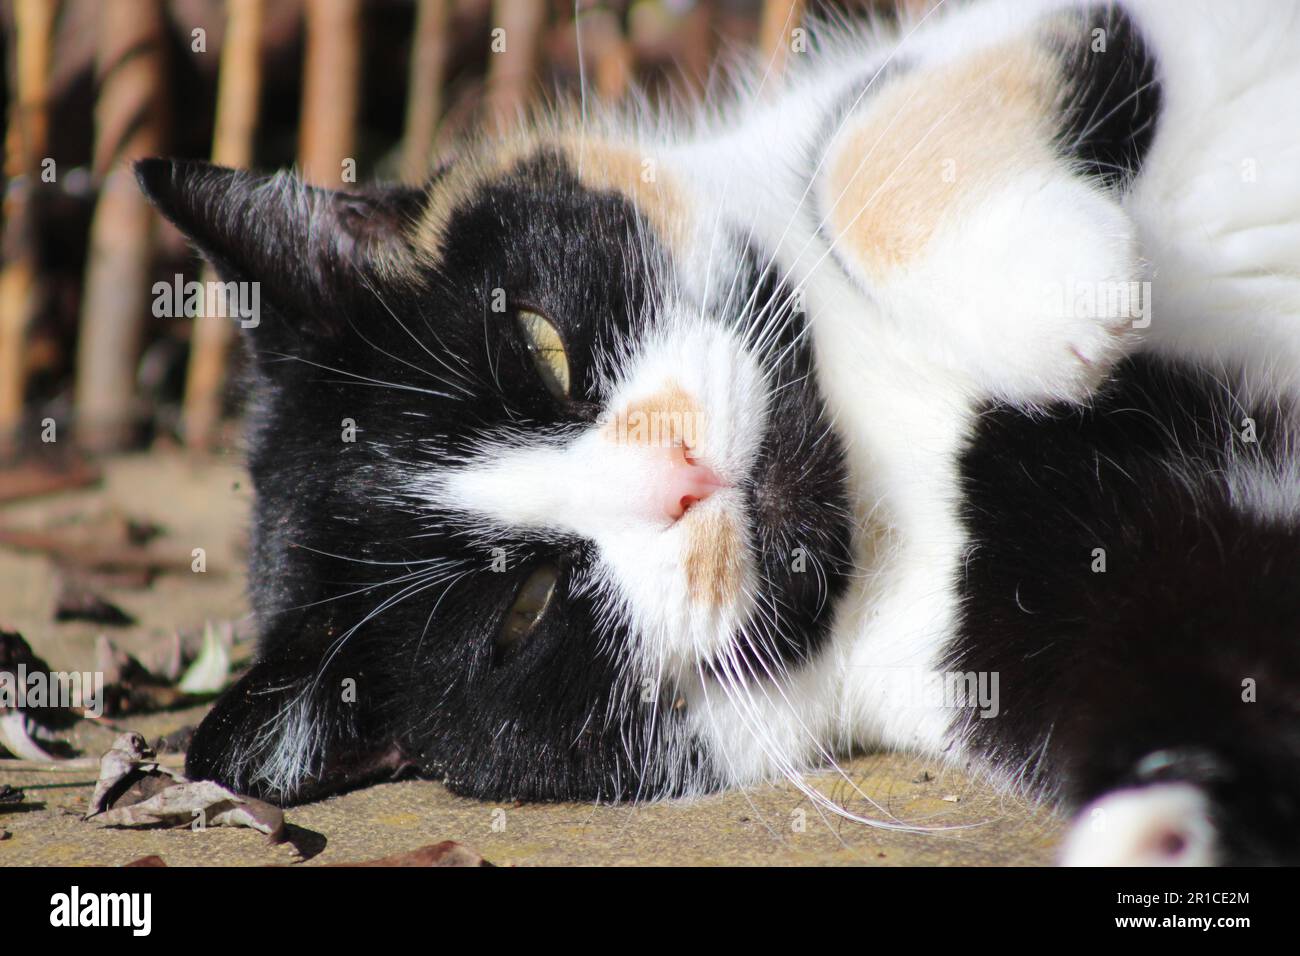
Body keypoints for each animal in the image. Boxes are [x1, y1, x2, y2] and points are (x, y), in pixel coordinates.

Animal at [134, 0, 1300, 868]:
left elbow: (860, 140)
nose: (679, 475)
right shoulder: (1062, 598)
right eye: (525, 611)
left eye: (539, 344)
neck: (879, 451)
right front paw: (1157, 826)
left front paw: (1061, 291)